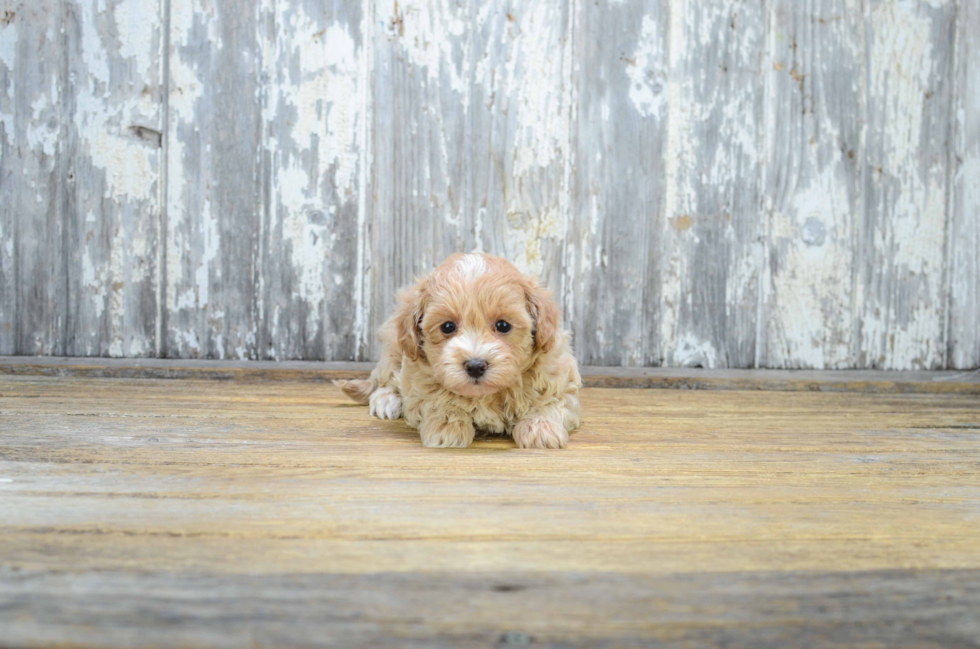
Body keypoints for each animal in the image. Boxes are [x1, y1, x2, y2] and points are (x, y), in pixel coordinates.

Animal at [336, 251, 580, 448]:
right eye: (447, 327)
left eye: (503, 325)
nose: (475, 366)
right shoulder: (418, 378)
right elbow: (436, 399)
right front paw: (447, 427)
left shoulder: (559, 374)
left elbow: (550, 401)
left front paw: (541, 428)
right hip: (395, 345)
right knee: (386, 376)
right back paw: (386, 399)